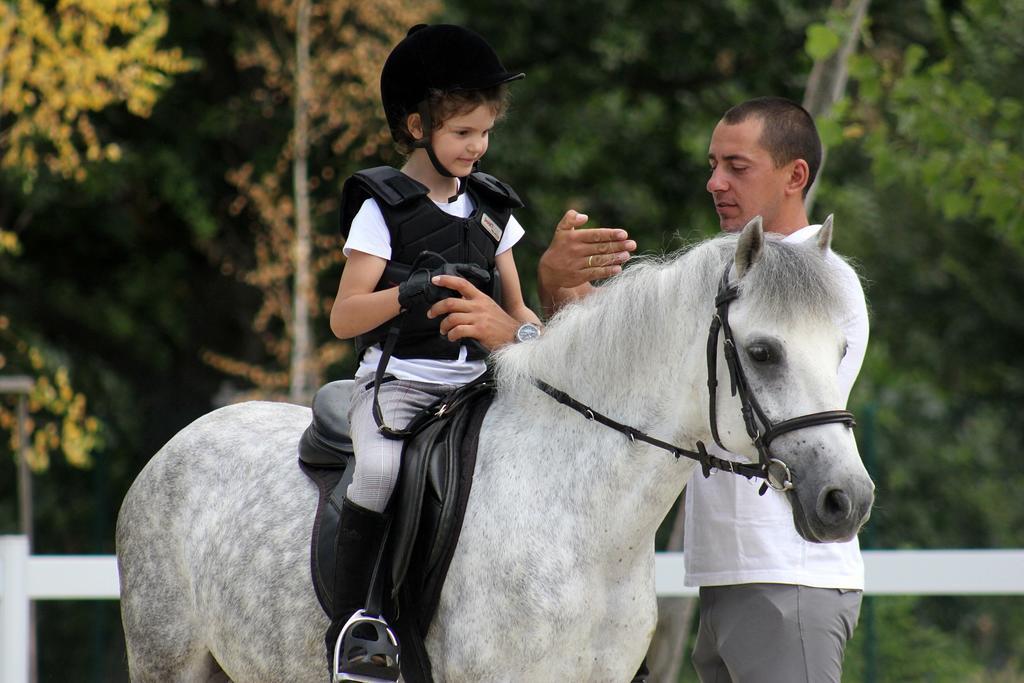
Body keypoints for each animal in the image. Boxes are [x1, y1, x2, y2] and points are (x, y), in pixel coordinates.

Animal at [119, 220, 872, 683]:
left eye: (842, 348)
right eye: (762, 352)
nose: (847, 500)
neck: (584, 523)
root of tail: (176, 446)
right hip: (167, 659)